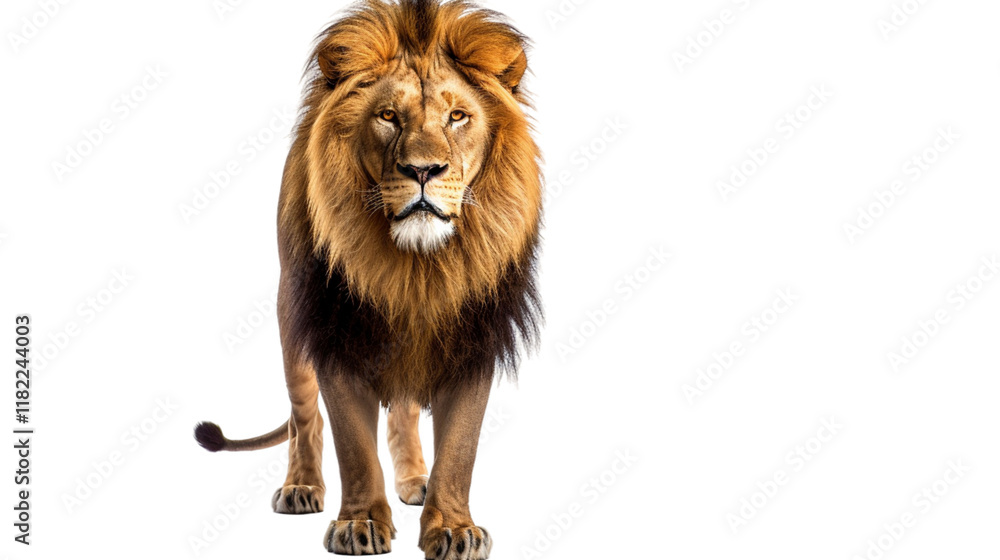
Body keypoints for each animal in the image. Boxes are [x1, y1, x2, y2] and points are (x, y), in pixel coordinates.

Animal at [194, 1, 541, 558]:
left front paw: (454, 528)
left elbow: (460, 448)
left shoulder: (473, 336)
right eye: (388, 116)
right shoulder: (336, 330)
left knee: (402, 411)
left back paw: (415, 480)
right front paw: (359, 524)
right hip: (291, 316)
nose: (423, 169)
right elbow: (352, 444)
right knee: (304, 417)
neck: (416, 268)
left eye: (457, 116)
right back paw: (301, 486)